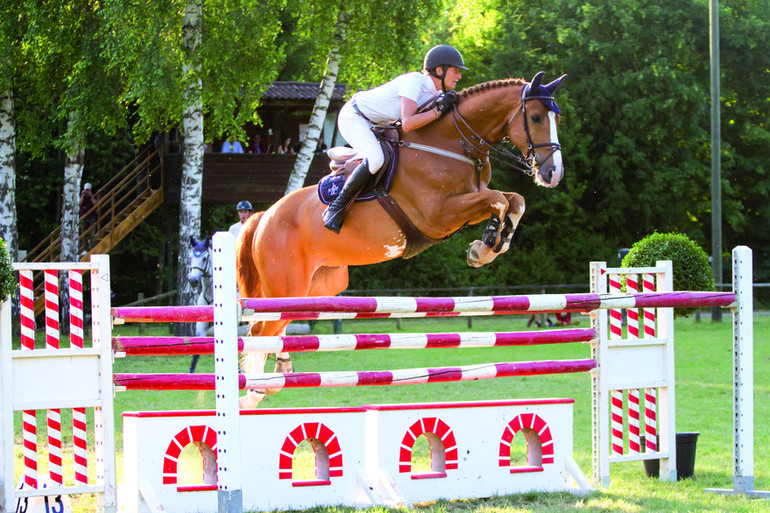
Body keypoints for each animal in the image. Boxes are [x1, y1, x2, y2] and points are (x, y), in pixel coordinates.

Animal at [237, 72, 568, 408]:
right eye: (536, 117)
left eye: (557, 118)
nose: (553, 173)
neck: (452, 143)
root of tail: (263, 217)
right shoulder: (439, 214)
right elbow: (498, 199)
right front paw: (485, 245)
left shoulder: (466, 204)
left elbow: (515, 200)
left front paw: (489, 246)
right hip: (287, 283)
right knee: (259, 329)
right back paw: (255, 391)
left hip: (317, 287)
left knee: (276, 325)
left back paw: (278, 374)